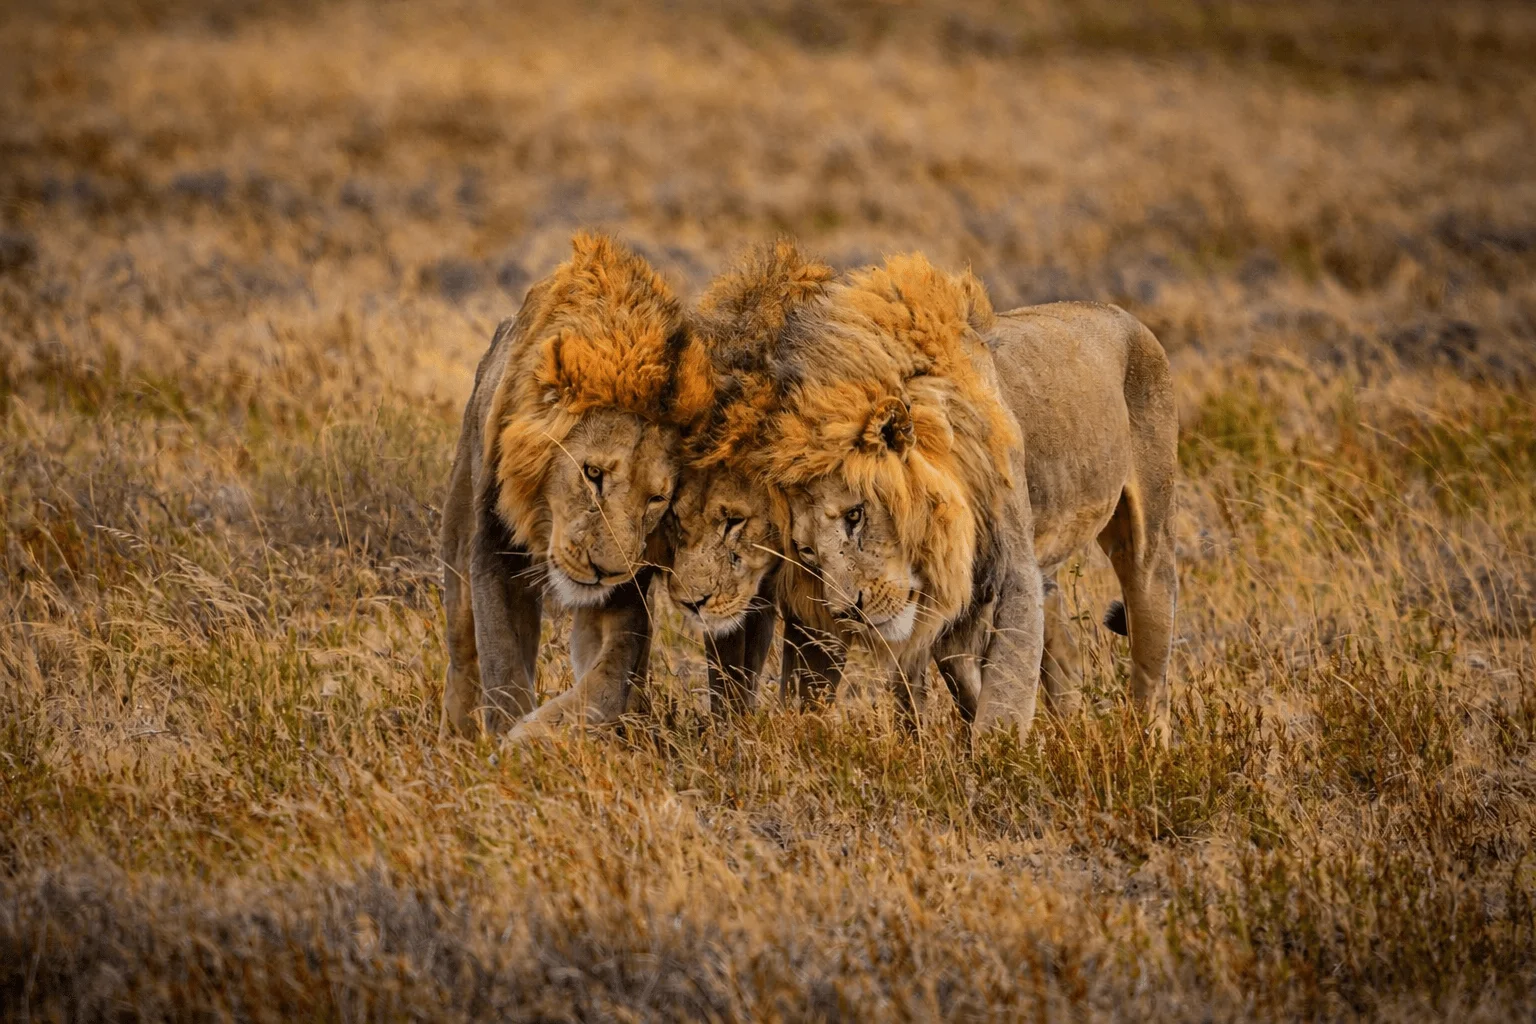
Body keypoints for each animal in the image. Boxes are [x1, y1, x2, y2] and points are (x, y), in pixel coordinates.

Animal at [439, 232, 713, 739]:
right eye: (593, 474)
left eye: (657, 499)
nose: (605, 570)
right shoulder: (495, 553)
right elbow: (503, 667)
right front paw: (505, 741)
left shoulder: (625, 592)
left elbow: (608, 680)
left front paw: (540, 735)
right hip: (457, 539)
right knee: (462, 653)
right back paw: (456, 735)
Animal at [764, 255, 1179, 743]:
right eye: (806, 552)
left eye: (856, 515)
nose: (847, 612)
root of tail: (1120, 313)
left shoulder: (1013, 571)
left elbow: (1004, 694)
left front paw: (999, 757)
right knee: (1064, 652)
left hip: (1148, 546)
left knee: (1151, 671)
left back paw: (1150, 747)